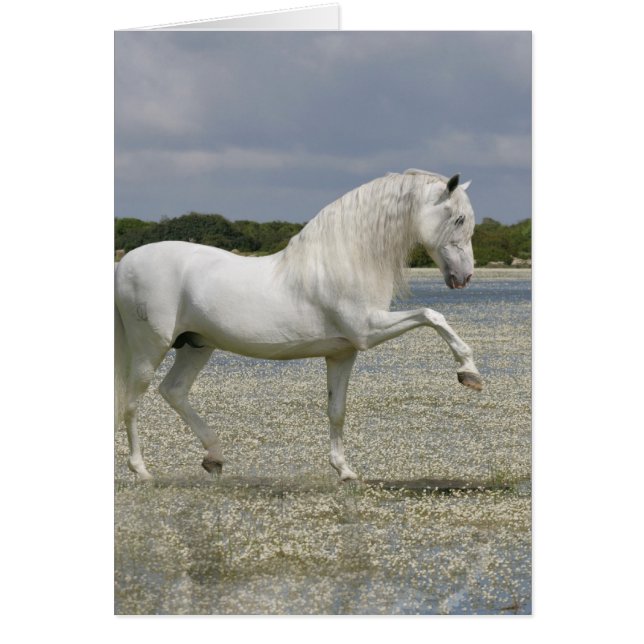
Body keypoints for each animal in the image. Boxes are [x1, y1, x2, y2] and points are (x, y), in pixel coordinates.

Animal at [114, 169, 483, 481]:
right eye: (459, 218)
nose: (464, 277)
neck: (346, 260)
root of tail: (126, 262)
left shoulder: (343, 353)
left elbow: (336, 410)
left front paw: (344, 471)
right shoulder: (368, 330)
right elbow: (432, 315)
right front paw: (469, 372)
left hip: (197, 345)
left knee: (173, 391)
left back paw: (214, 457)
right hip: (151, 348)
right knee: (132, 401)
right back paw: (142, 471)